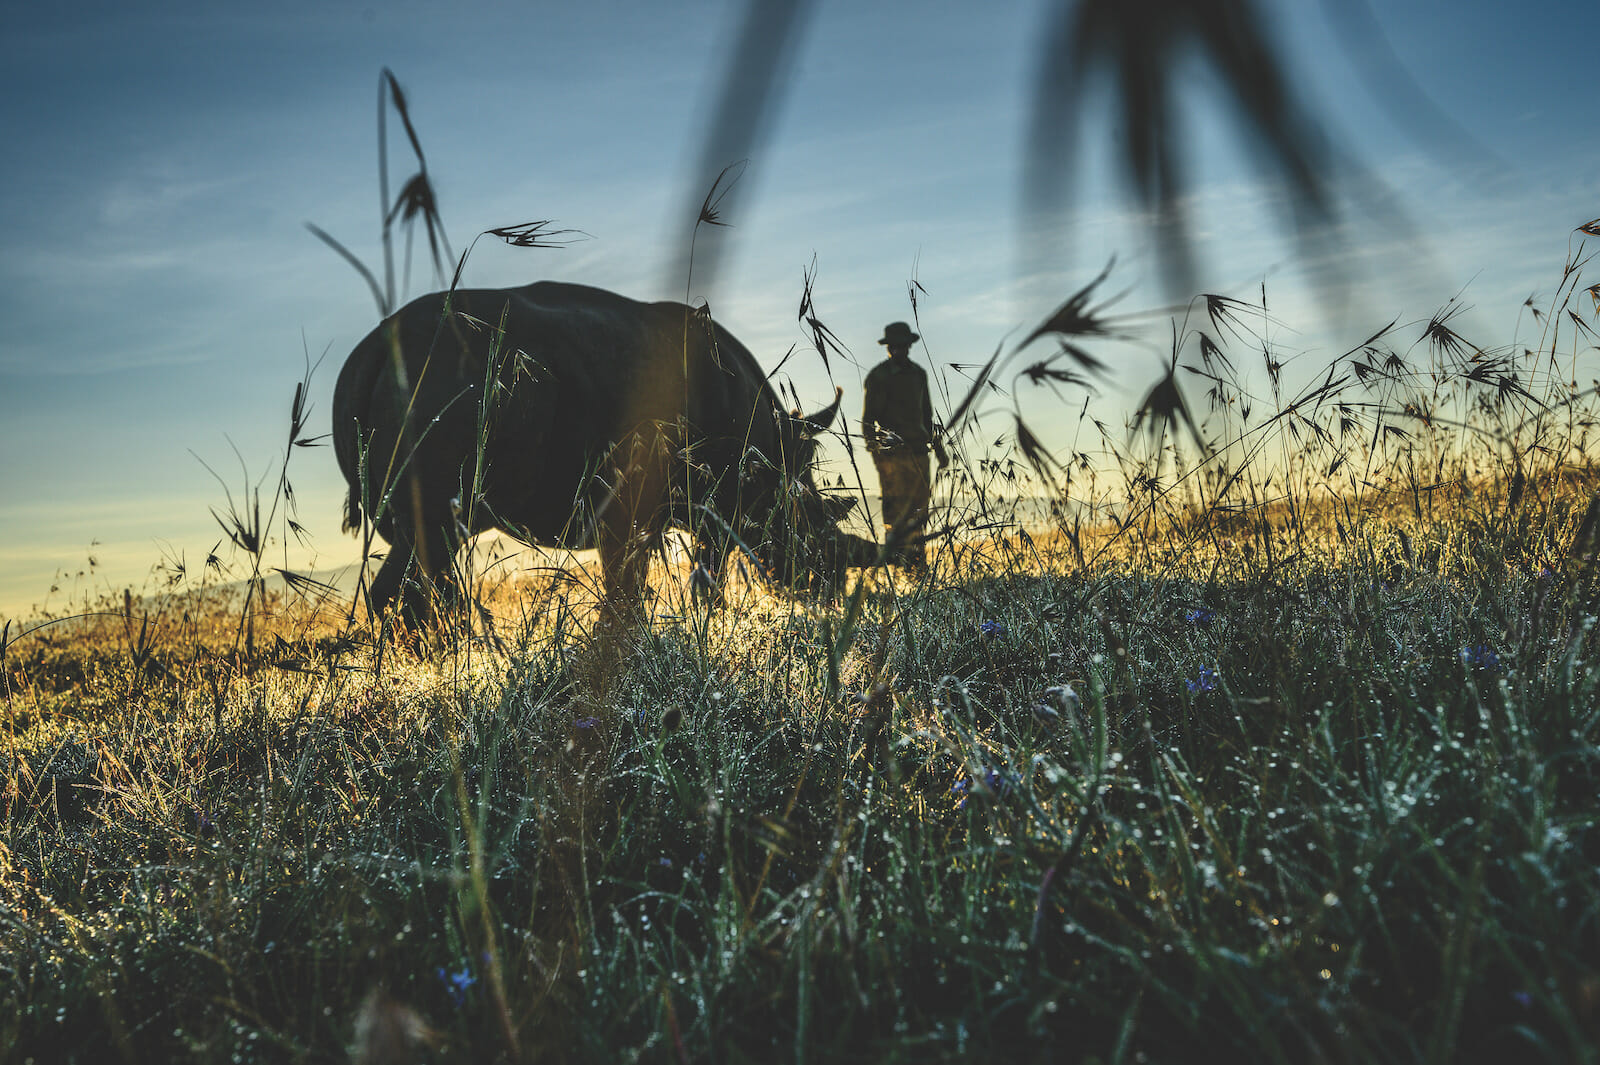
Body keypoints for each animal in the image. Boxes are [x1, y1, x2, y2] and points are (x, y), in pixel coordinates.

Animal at [328, 278, 876, 623]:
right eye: (819, 527)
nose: (831, 592)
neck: (771, 449)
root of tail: (370, 349)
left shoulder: (643, 508)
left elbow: (630, 584)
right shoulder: (709, 501)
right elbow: (699, 580)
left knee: (428, 562)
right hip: (450, 379)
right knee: (426, 550)